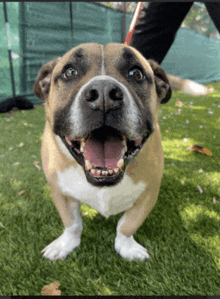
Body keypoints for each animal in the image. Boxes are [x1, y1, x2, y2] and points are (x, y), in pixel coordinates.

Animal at [34, 42, 172, 262]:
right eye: (70, 71)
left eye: (136, 73)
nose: (104, 94)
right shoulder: (59, 190)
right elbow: (72, 223)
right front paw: (66, 244)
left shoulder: (149, 194)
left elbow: (127, 224)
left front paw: (126, 246)